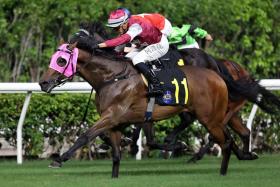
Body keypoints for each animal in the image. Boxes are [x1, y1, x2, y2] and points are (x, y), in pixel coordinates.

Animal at [38, 34, 234, 178]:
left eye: (61, 61)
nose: (43, 83)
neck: (113, 78)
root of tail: (216, 75)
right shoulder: (121, 121)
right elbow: (117, 153)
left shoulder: (112, 116)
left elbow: (85, 136)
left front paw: (59, 159)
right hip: (209, 117)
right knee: (226, 138)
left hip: (209, 118)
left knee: (224, 141)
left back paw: (221, 171)